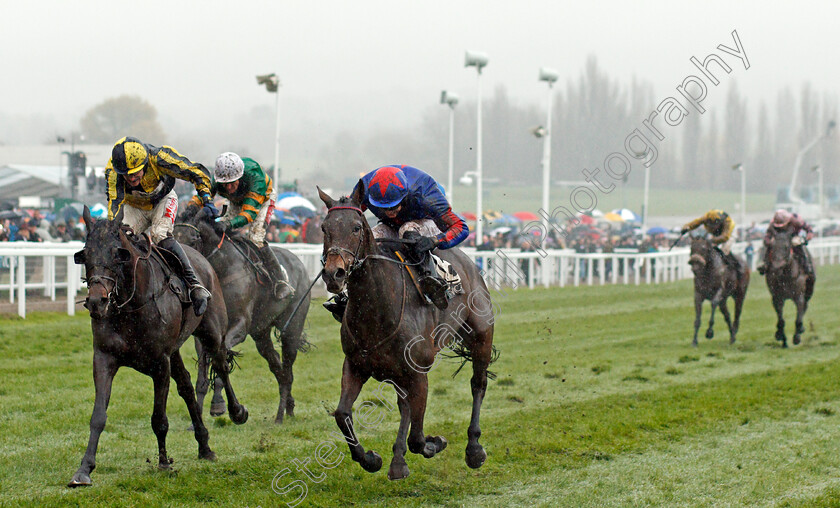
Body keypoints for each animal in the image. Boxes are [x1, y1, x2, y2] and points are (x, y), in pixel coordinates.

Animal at [68, 207, 246, 488]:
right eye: (85, 253)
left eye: (117, 253)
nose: (97, 302)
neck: (131, 306)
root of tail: (203, 259)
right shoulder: (104, 358)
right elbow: (98, 417)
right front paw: (84, 469)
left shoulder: (160, 363)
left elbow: (159, 419)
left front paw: (163, 462)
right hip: (175, 351)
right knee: (186, 386)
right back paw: (204, 445)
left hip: (211, 332)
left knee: (220, 365)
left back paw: (236, 412)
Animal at [176, 206, 310, 424]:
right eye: (172, 236)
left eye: (194, 238)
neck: (221, 269)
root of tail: (297, 260)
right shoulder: (205, 332)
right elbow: (204, 370)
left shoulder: (240, 324)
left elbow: (221, 357)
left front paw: (220, 405)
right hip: (261, 333)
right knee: (278, 367)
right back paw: (287, 408)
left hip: (292, 327)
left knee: (287, 367)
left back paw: (280, 415)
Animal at [318, 188, 496, 480]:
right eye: (324, 228)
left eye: (356, 227)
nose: (334, 273)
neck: (377, 307)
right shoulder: (355, 365)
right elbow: (342, 414)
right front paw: (370, 459)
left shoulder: (418, 372)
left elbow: (418, 437)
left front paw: (436, 443)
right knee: (403, 405)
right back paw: (398, 460)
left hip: (481, 335)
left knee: (478, 385)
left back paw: (474, 449)